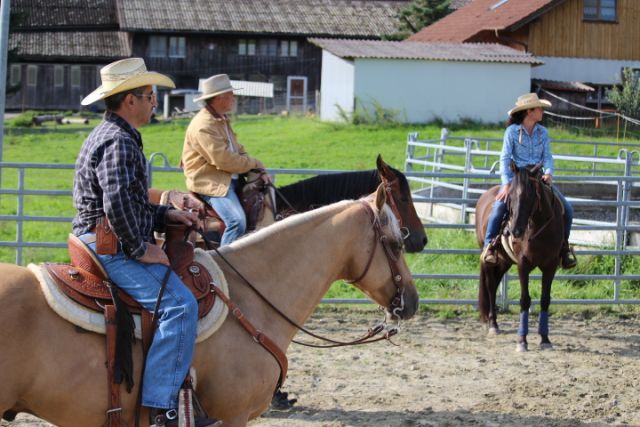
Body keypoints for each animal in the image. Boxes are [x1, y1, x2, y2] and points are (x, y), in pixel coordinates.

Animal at [475, 163, 564, 352]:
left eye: (530, 195)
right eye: (510, 196)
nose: (515, 230)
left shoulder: (550, 265)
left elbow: (545, 300)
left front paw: (545, 339)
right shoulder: (523, 264)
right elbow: (525, 300)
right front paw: (522, 340)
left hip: (504, 261)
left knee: (495, 284)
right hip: (488, 259)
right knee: (490, 285)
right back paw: (492, 324)